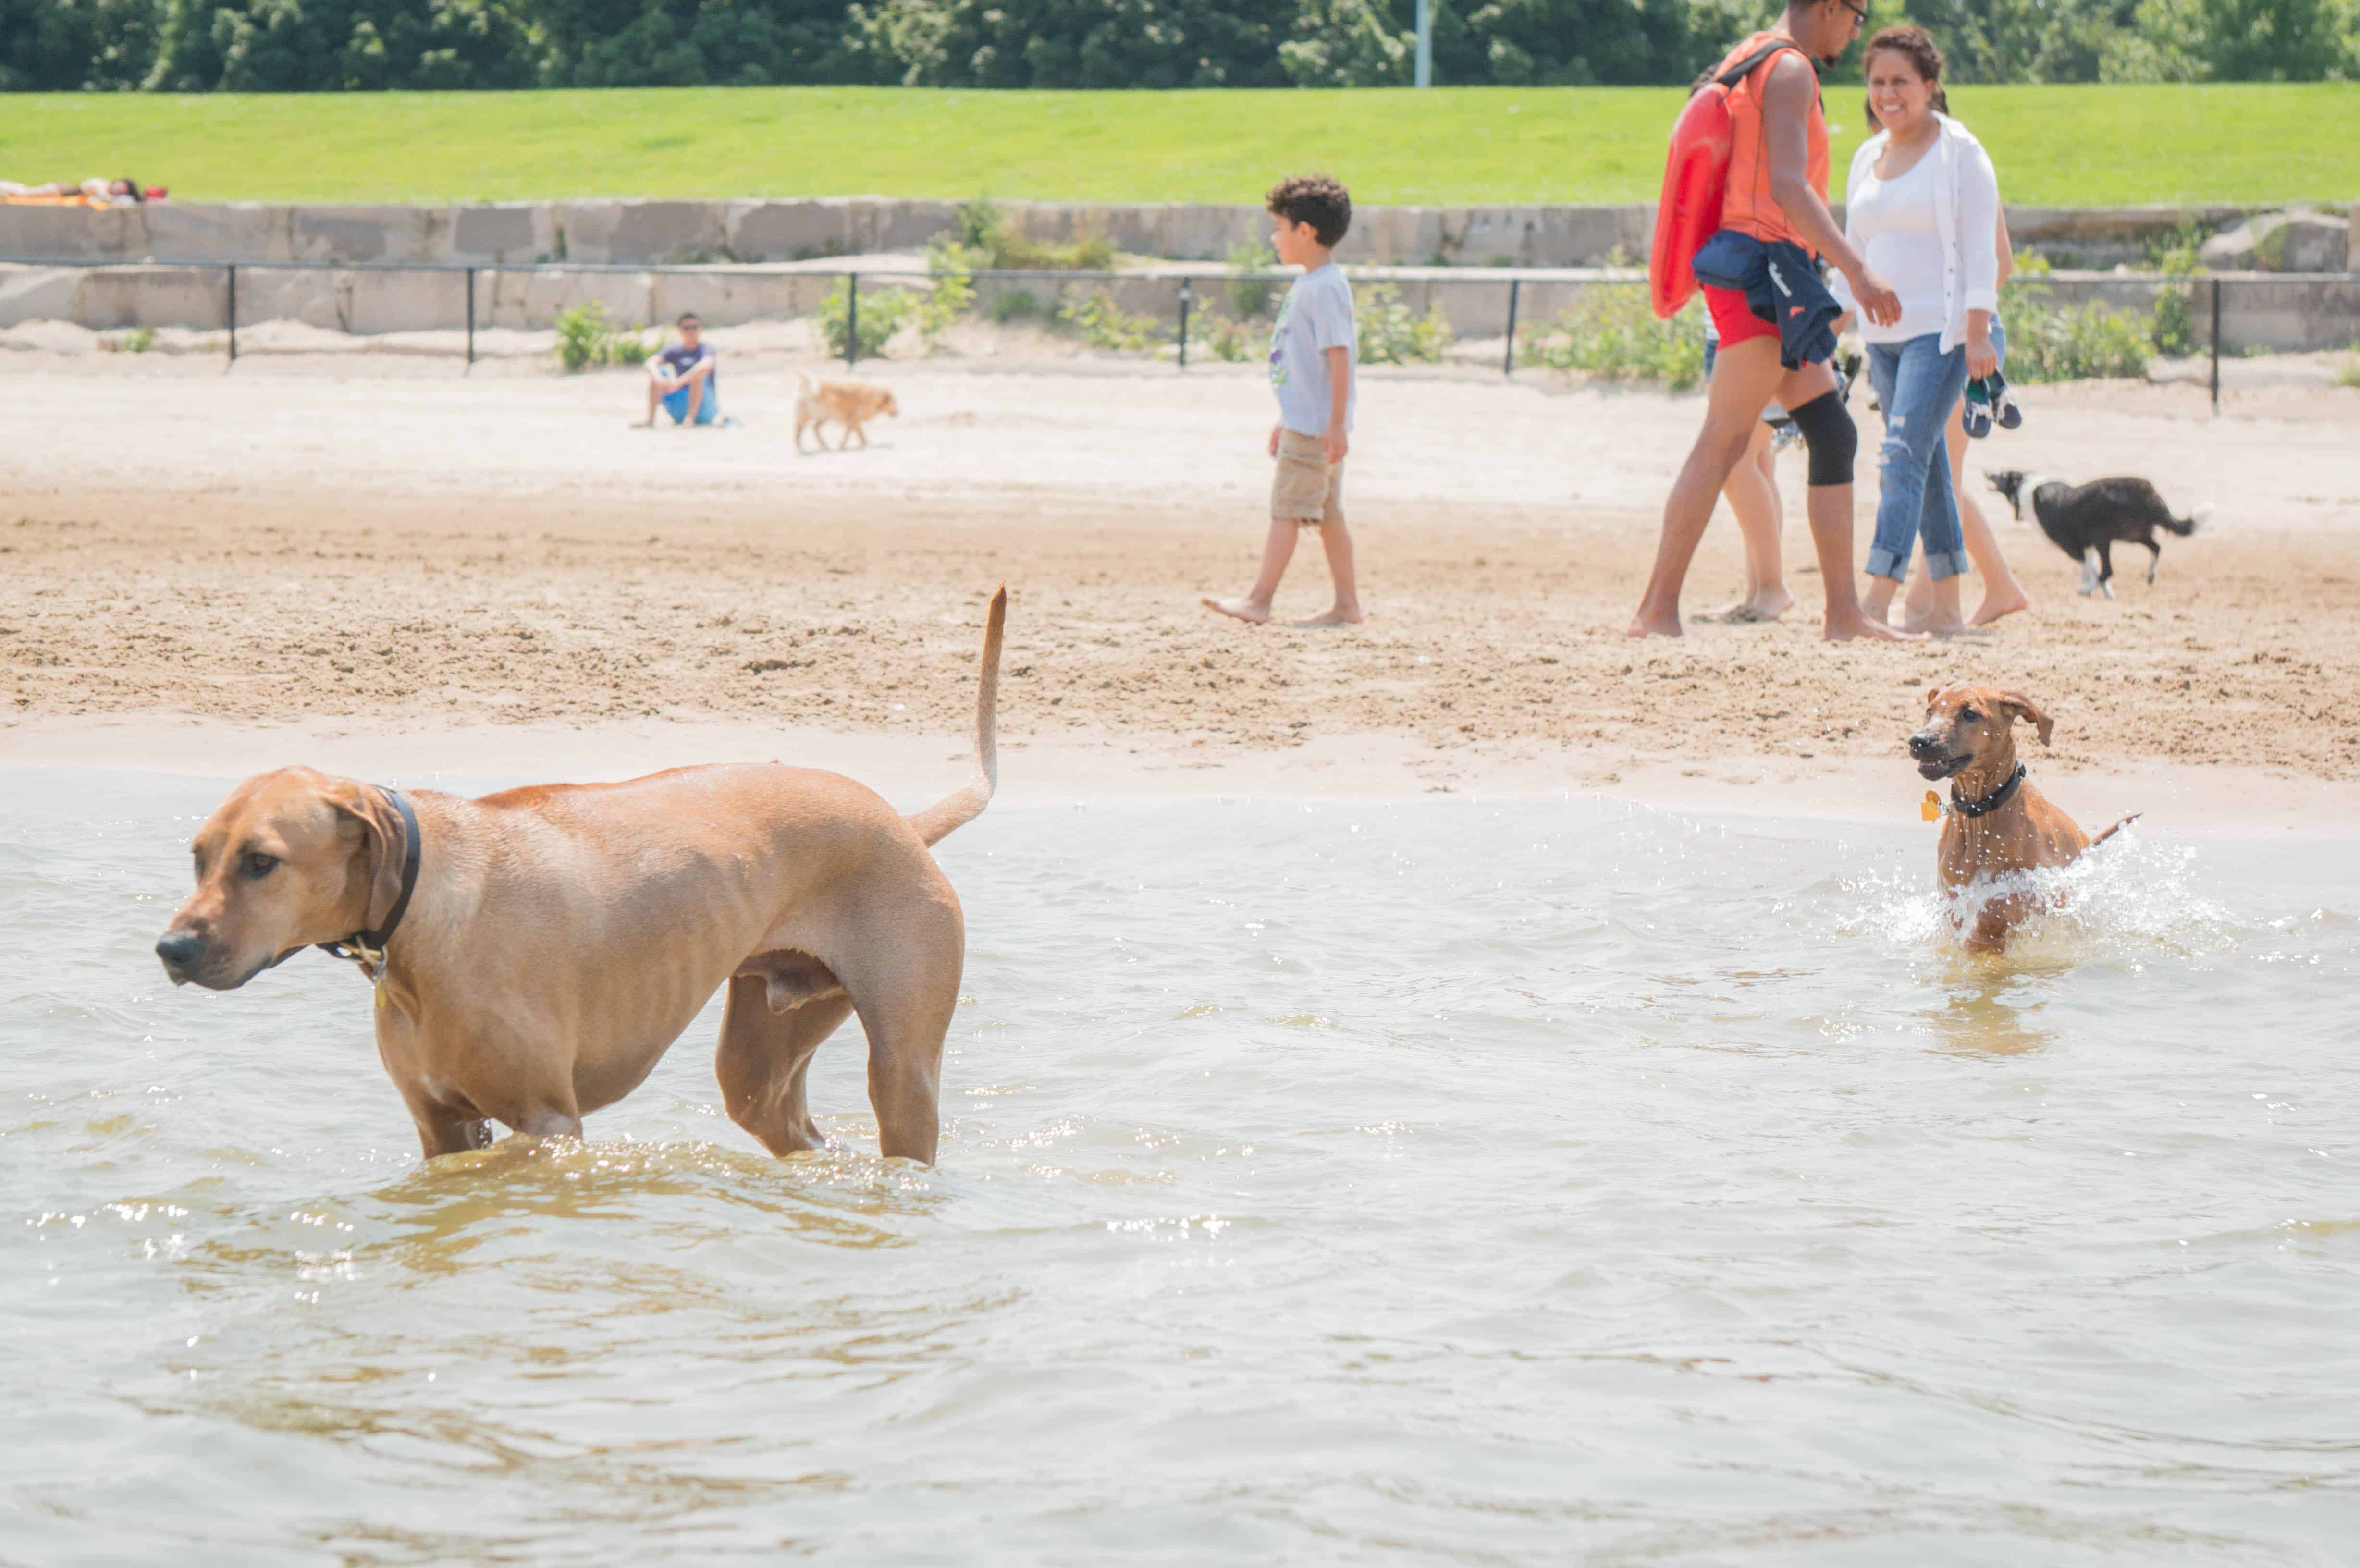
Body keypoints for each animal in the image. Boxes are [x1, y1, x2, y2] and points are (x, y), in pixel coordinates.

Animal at [157, 588, 1005, 1162]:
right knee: (792, 1127)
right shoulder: (442, 1130)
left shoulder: (549, 1129)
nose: (172, 951)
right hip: (767, 1052)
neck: (426, 913)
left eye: (261, 862)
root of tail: (904, 824)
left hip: (903, 1065)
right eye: (198, 856)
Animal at [798, 373, 897, 453]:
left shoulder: (854, 420)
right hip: (822, 415)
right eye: (893, 402)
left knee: (813, 427)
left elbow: (858, 432)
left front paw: (863, 443)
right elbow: (852, 433)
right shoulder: (854, 419)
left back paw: (823, 446)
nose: (897, 412)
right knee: (803, 429)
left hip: (821, 416)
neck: (874, 398)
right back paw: (803, 447)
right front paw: (844, 446)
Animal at [1897, 680, 2143, 949]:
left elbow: (1999, 905)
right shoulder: (1951, 894)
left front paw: (1981, 939)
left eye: (1970, 714)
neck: (1981, 817)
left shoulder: (2046, 888)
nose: (1919, 741)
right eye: (1929, 711)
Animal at [1991, 467, 2209, 597]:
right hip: (2132, 535)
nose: (1988, 472)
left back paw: (2085, 589)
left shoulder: (2072, 546)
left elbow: (2091, 569)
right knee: (2156, 547)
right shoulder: (2087, 546)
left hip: (2103, 536)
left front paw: (2094, 588)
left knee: (2109, 570)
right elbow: (2091, 568)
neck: (2026, 488)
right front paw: (2105, 591)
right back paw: (2150, 575)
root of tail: (2151, 492)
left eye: (2002, 475)